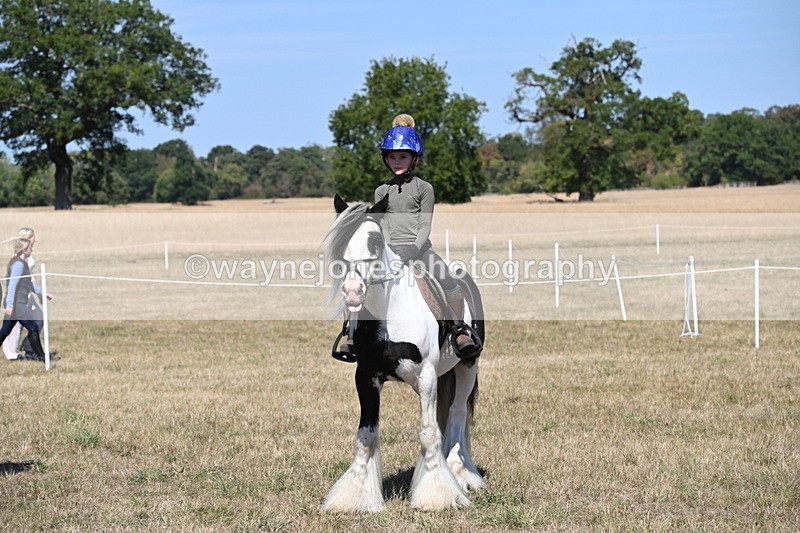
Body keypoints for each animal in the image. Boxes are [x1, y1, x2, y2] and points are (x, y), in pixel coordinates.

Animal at [321, 194, 486, 513]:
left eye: (374, 241)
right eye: (340, 242)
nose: (352, 291)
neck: (390, 313)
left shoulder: (426, 378)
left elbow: (428, 431)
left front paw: (437, 494)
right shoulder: (366, 377)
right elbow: (366, 435)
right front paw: (356, 496)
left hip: (467, 367)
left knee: (457, 413)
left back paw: (459, 473)